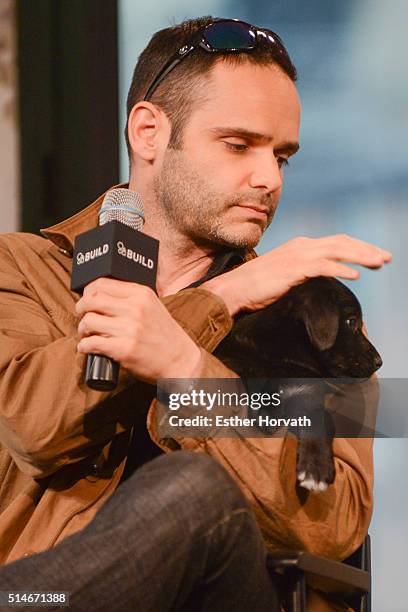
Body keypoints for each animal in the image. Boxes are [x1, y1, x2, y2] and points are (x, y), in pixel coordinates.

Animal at [214, 276, 382, 492]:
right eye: (351, 321)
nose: (379, 362)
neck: (287, 352)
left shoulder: (308, 393)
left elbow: (321, 417)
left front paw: (315, 467)